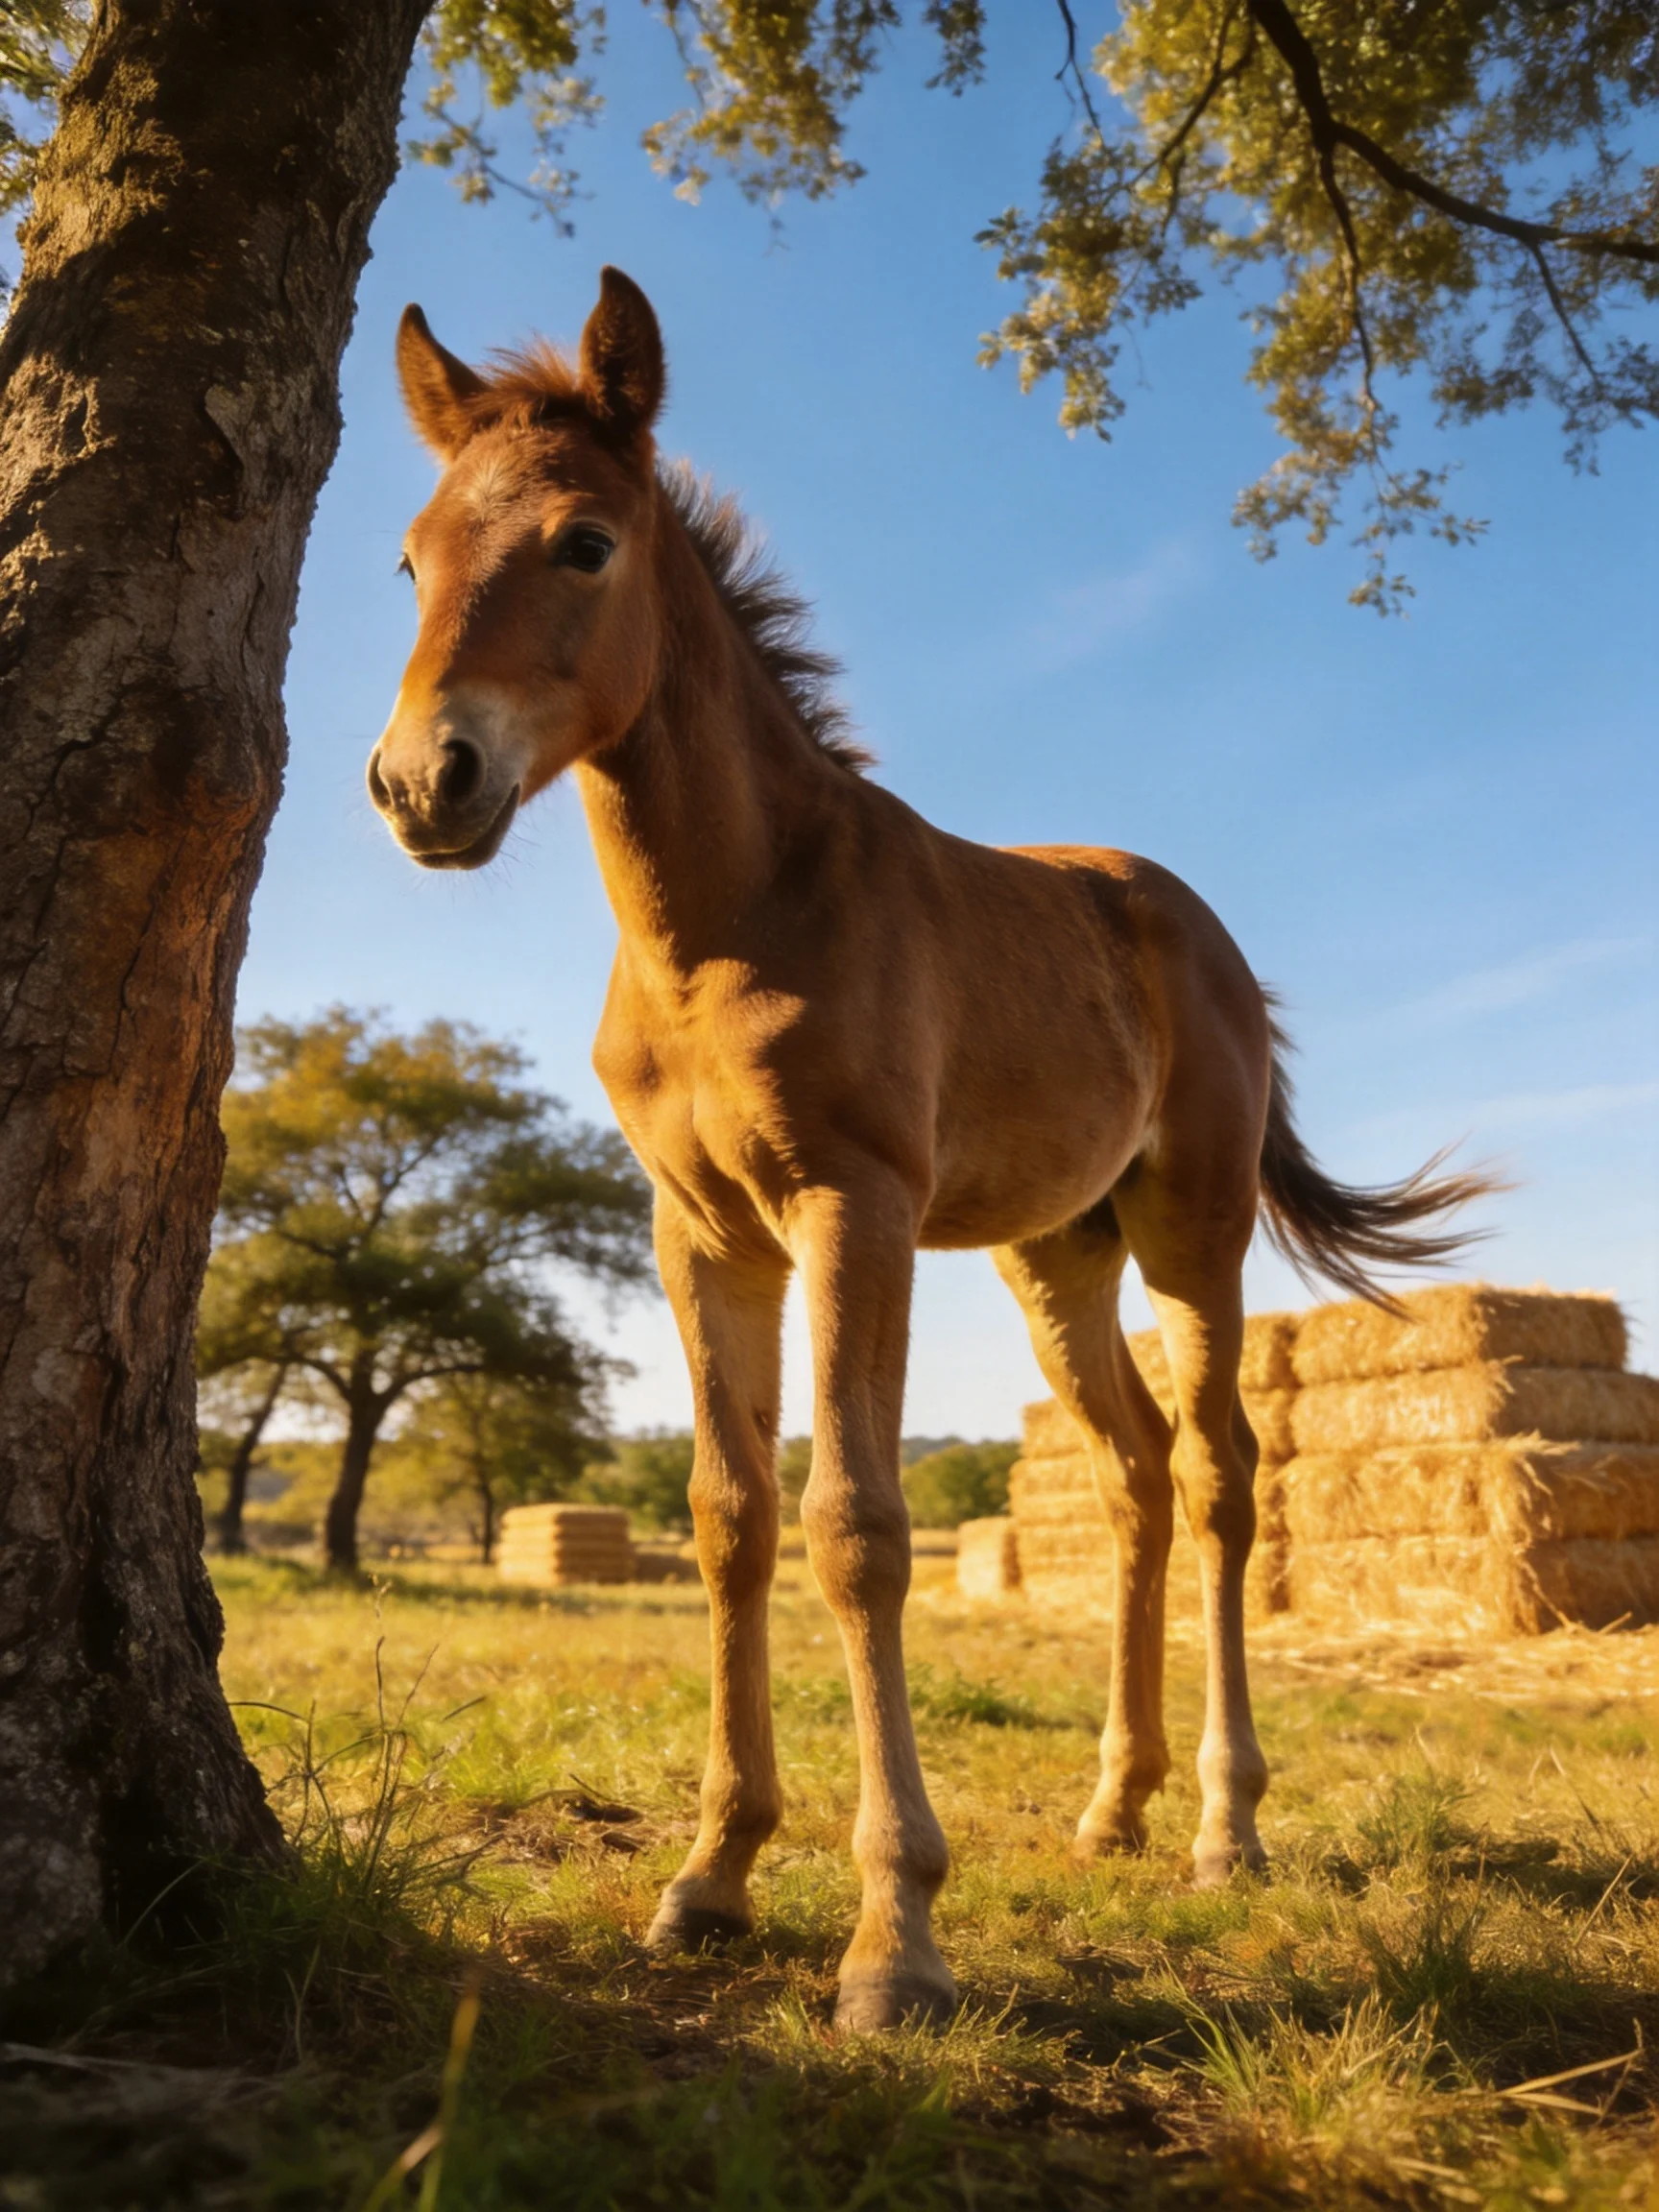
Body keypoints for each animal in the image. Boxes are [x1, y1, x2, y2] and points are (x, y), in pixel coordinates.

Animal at [368, 267, 1489, 2032]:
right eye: (409, 559)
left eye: (583, 542)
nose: (427, 780)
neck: (732, 915)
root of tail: (1200, 927)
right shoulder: (700, 1234)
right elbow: (729, 1518)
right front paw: (712, 1876)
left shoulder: (854, 1207)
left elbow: (858, 1527)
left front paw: (892, 1936)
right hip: (1055, 1255)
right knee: (1130, 1474)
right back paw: (1113, 1806)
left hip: (1191, 1231)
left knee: (1222, 1476)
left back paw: (1226, 1827)